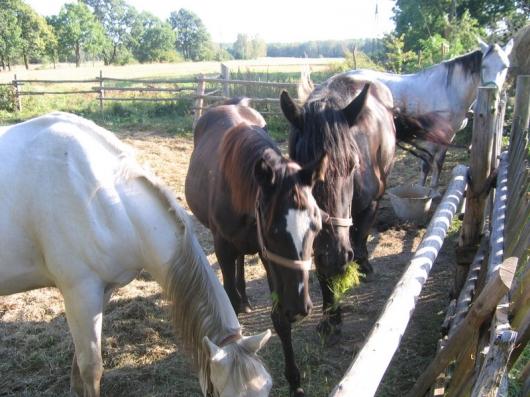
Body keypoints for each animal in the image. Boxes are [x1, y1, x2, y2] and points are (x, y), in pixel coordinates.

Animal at [0, 111, 270, 396]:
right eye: (221, 393)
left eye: (267, 388)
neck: (101, 196)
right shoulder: (79, 293)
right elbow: (91, 367)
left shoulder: (103, 291)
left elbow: (78, 365)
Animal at [185, 97, 326, 394]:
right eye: (274, 231)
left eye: (316, 226)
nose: (299, 306)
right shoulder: (225, 247)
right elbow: (228, 301)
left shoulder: (266, 255)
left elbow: (280, 320)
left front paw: (294, 382)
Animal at [278, 76, 448, 360]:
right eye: (300, 168)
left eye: (352, 164)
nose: (335, 255)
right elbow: (324, 270)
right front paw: (331, 319)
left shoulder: (370, 205)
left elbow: (359, 238)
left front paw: (360, 265)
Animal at [344, 37, 510, 190]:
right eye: (483, 66)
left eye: (505, 66)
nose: (494, 95)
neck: (449, 90)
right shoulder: (431, 136)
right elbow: (426, 164)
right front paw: (422, 190)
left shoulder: (448, 136)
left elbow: (438, 163)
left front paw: (432, 189)